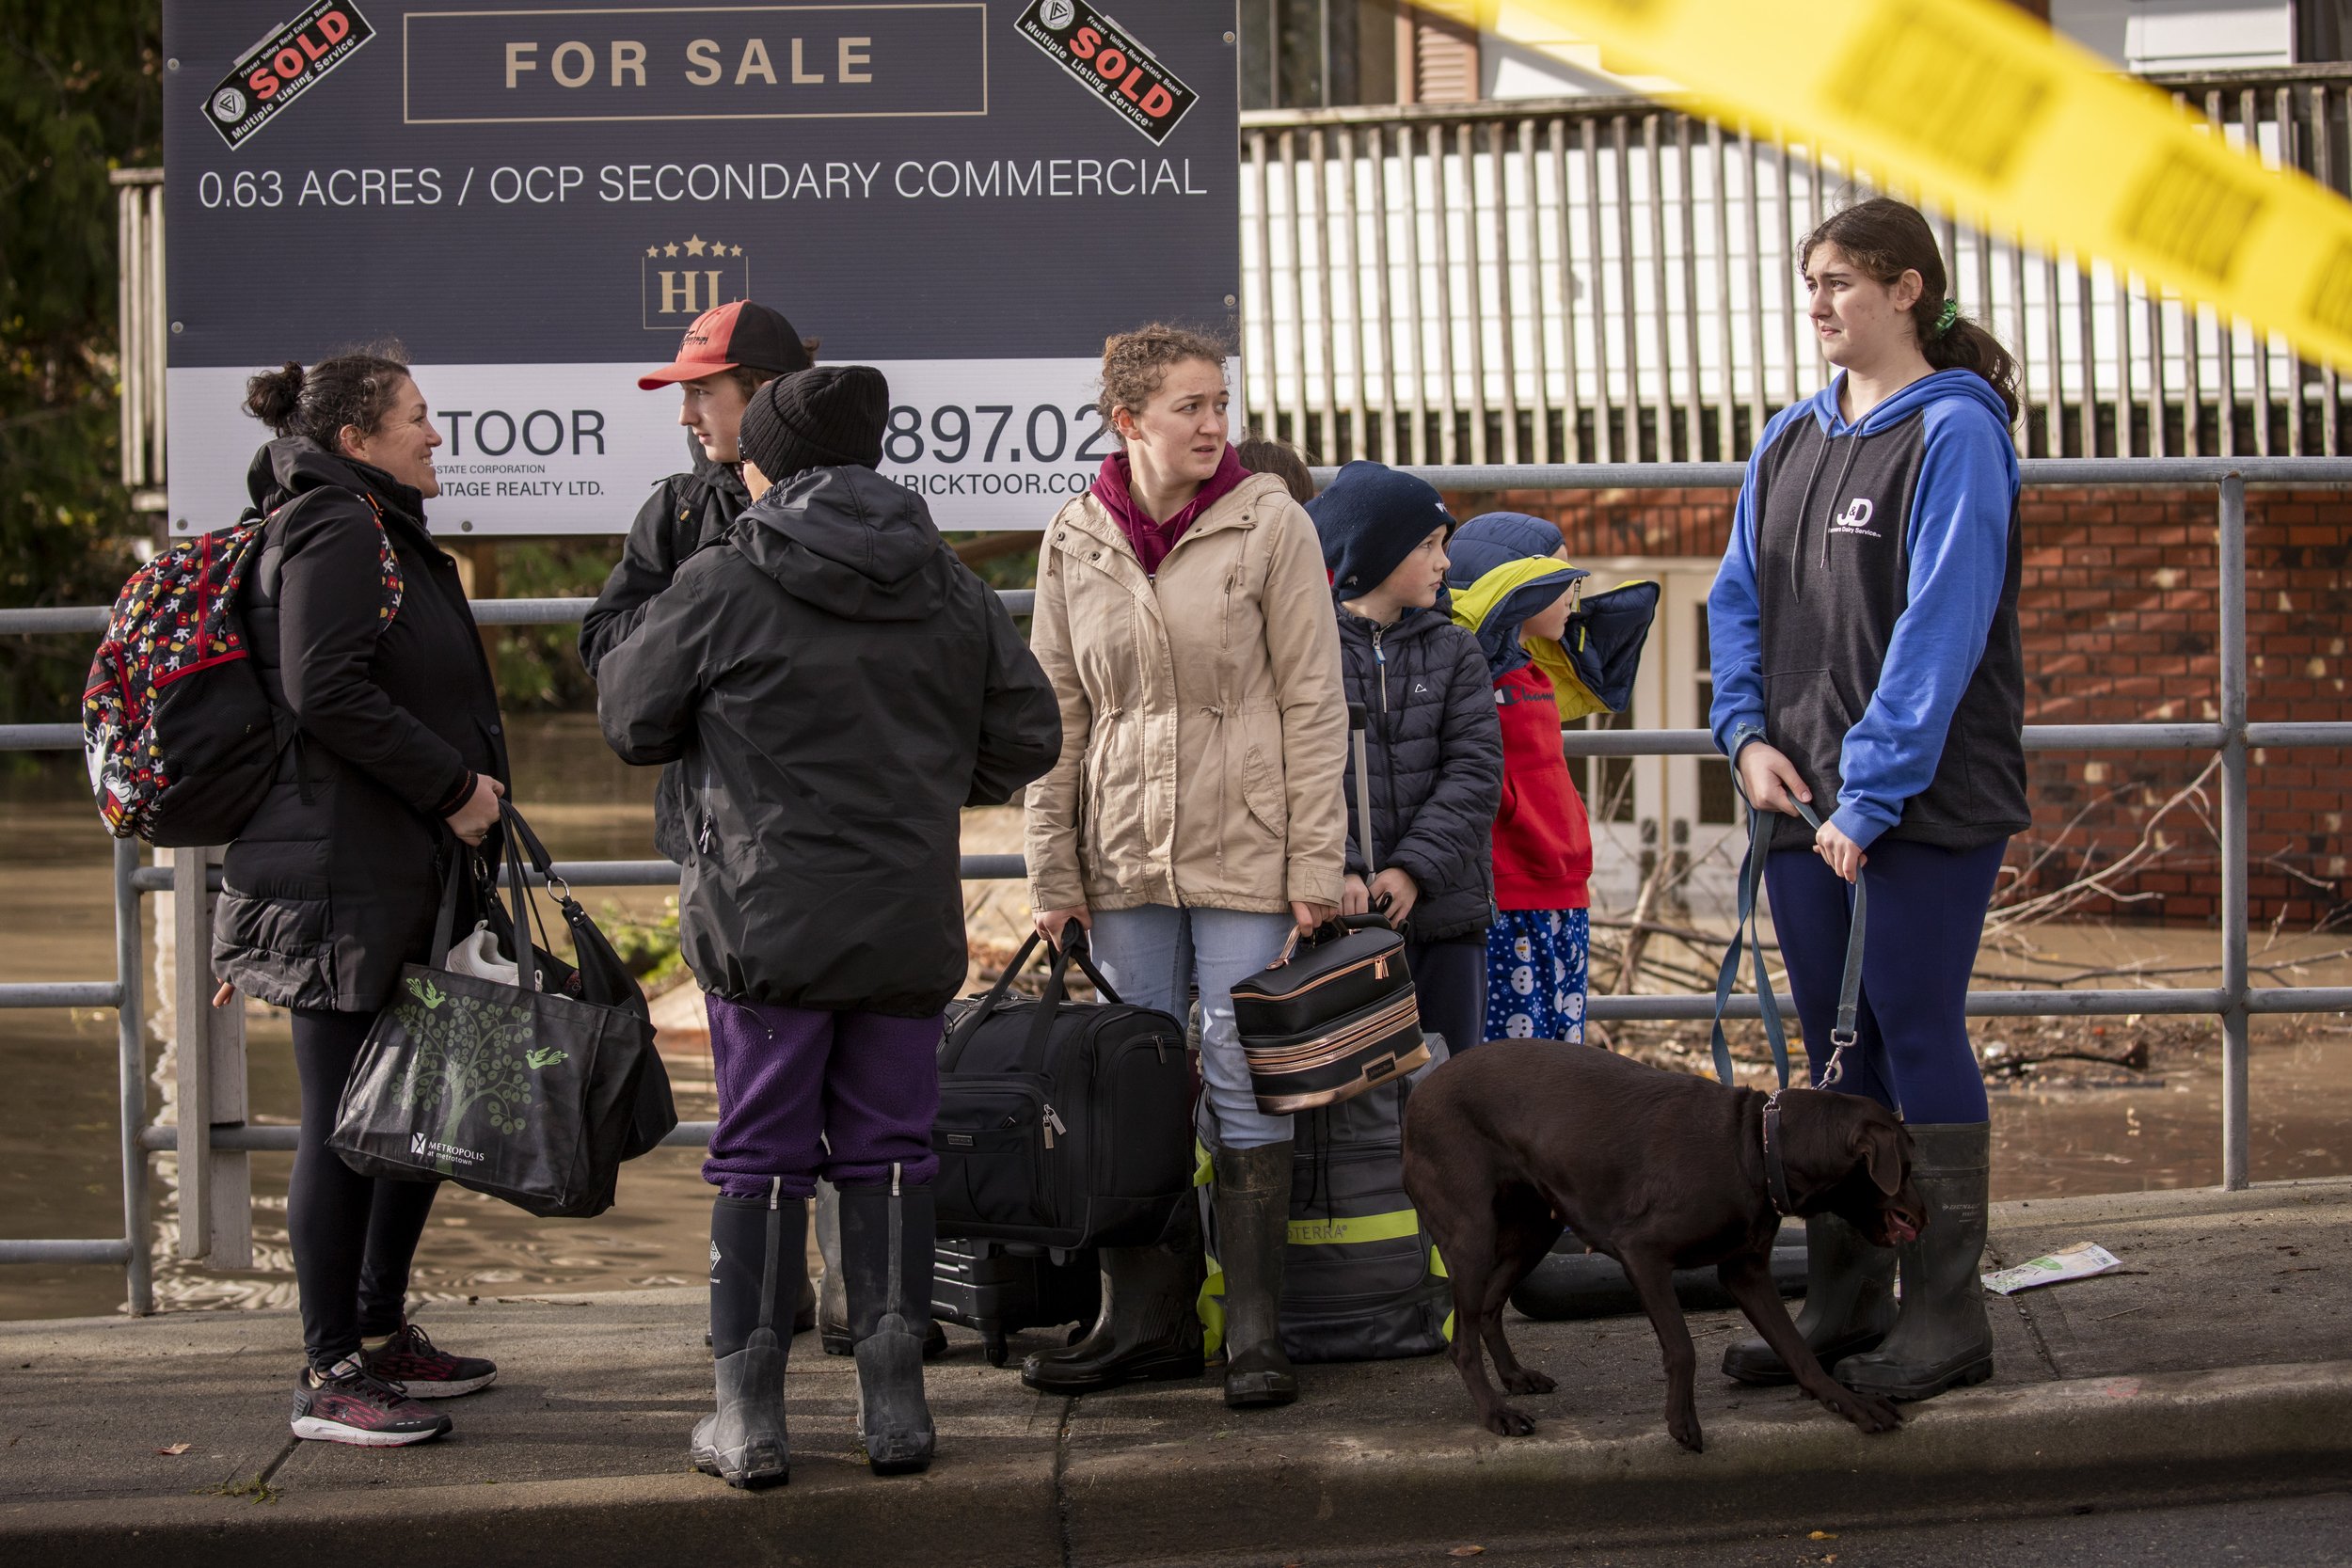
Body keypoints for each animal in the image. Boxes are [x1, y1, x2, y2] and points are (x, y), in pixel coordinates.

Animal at [1392, 1034, 1929, 1457]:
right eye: (1904, 1167)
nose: (1924, 1218)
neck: (1757, 1146)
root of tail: (1421, 1094)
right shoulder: (1643, 1254)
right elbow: (1682, 1348)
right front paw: (1682, 1423)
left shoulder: (1747, 1273)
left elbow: (1798, 1350)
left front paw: (1850, 1404)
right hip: (1472, 1236)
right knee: (1461, 1343)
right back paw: (1496, 1414)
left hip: (1533, 1231)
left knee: (1487, 1309)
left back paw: (1515, 1379)